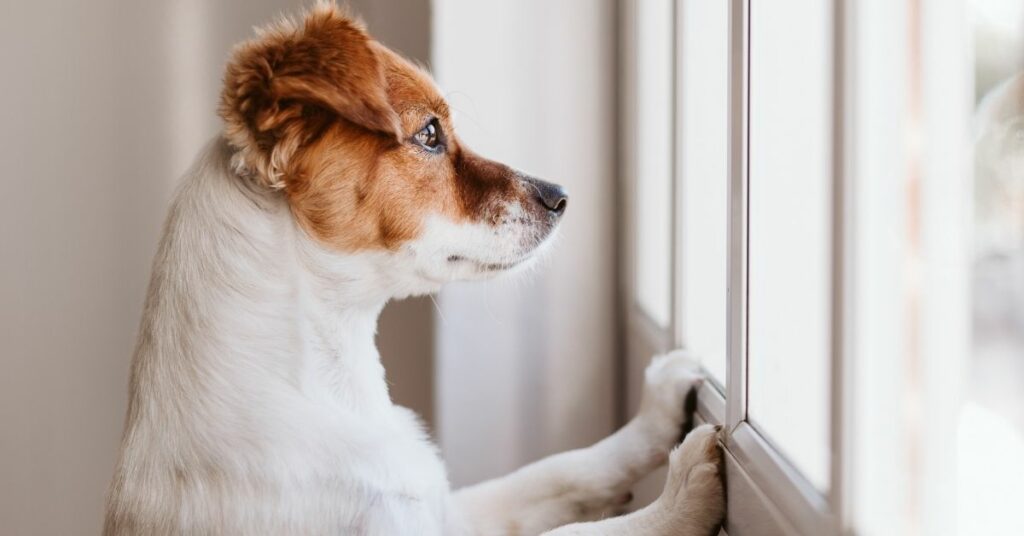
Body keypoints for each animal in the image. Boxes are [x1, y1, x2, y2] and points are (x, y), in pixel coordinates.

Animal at [103, 4, 724, 536]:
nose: (561, 197)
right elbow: (581, 531)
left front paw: (654, 414)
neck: (330, 384)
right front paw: (680, 496)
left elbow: (558, 470)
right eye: (429, 134)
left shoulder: (446, 510)